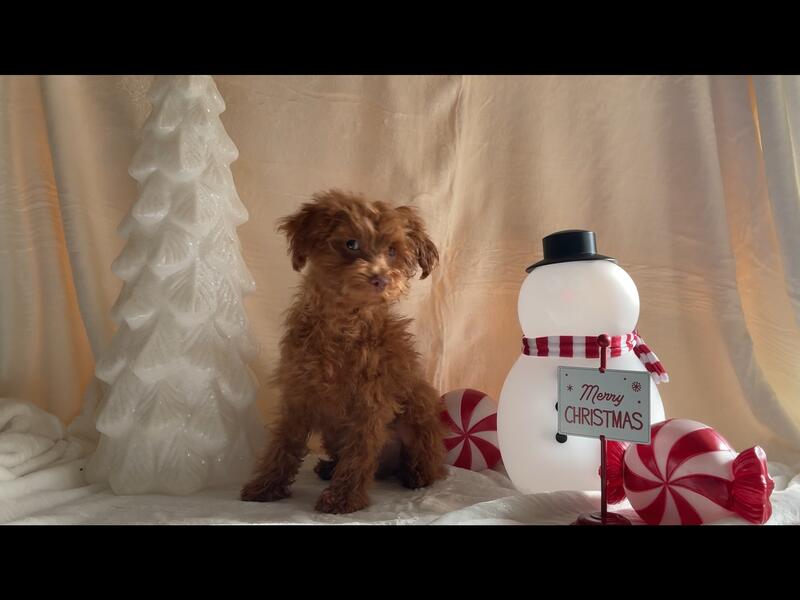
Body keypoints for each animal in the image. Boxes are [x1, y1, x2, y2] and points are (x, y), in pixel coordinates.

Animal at [241, 190, 448, 513]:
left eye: (392, 251)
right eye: (351, 243)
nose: (380, 279)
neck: (345, 323)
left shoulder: (371, 402)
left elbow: (360, 452)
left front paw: (344, 498)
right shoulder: (298, 393)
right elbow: (283, 444)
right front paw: (266, 486)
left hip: (419, 416)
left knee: (427, 462)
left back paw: (416, 475)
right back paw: (328, 468)